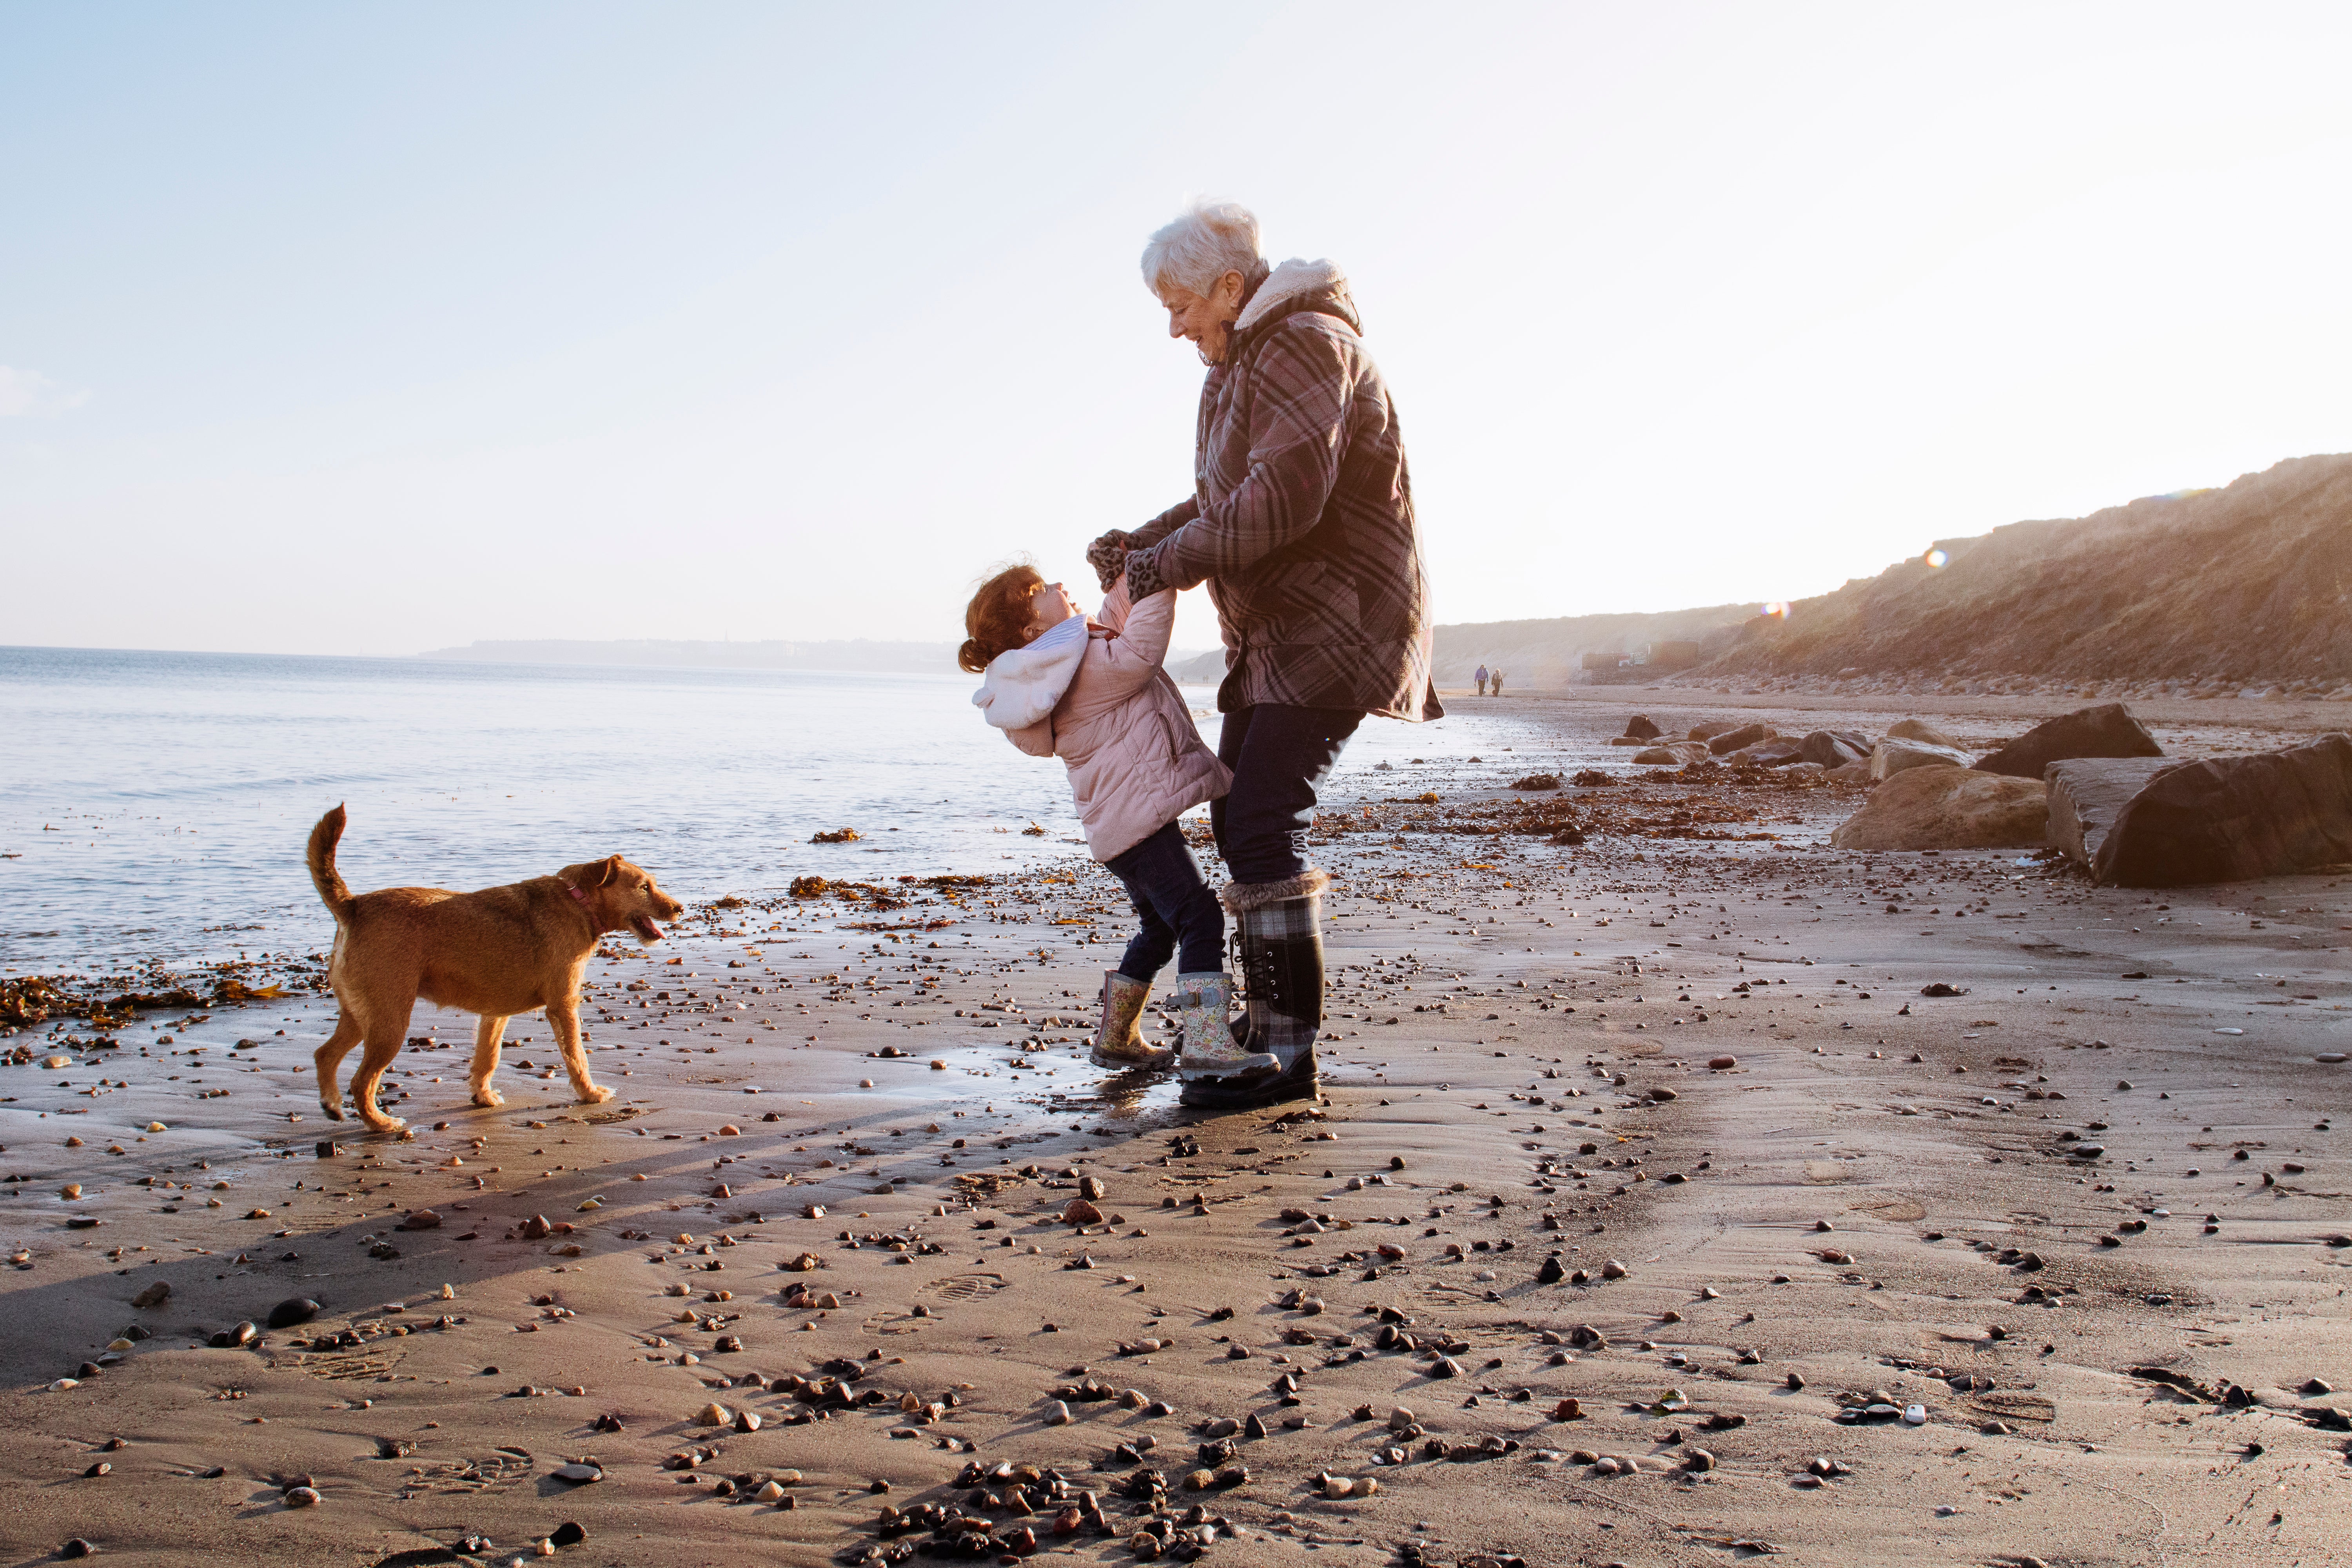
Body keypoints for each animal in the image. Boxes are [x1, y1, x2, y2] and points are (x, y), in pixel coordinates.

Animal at [303, 808, 682, 1128]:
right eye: (644, 887)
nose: (679, 908)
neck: (578, 901)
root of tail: (353, 906)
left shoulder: (495, 1014)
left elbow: (488, 1057)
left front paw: (482, 1097)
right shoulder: (563, 1006)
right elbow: (577, 1056)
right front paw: (591, 1094)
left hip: (360, 1015)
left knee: (325, 1055)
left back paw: (333, 1105)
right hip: (389, 1022)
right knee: (361, 1081)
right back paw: (381, 1123)